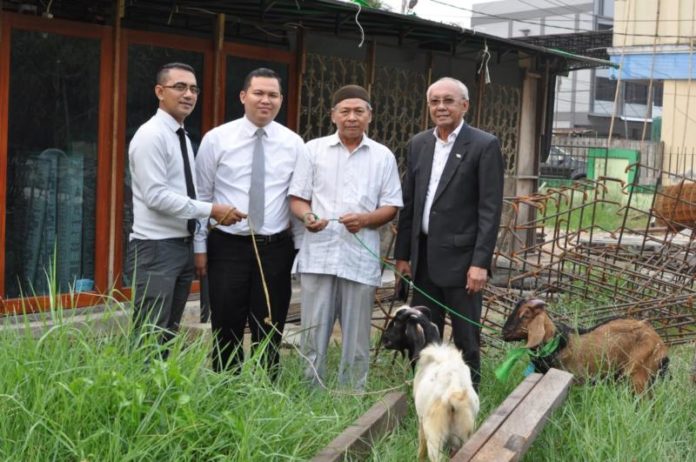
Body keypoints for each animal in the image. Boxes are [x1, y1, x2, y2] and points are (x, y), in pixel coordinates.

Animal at [380, 304, 478, 460]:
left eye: (396, 322)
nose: (384, 338)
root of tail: (454, 397)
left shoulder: (421, 419)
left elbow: (421, 447)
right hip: (465, 433)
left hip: (434, 434)